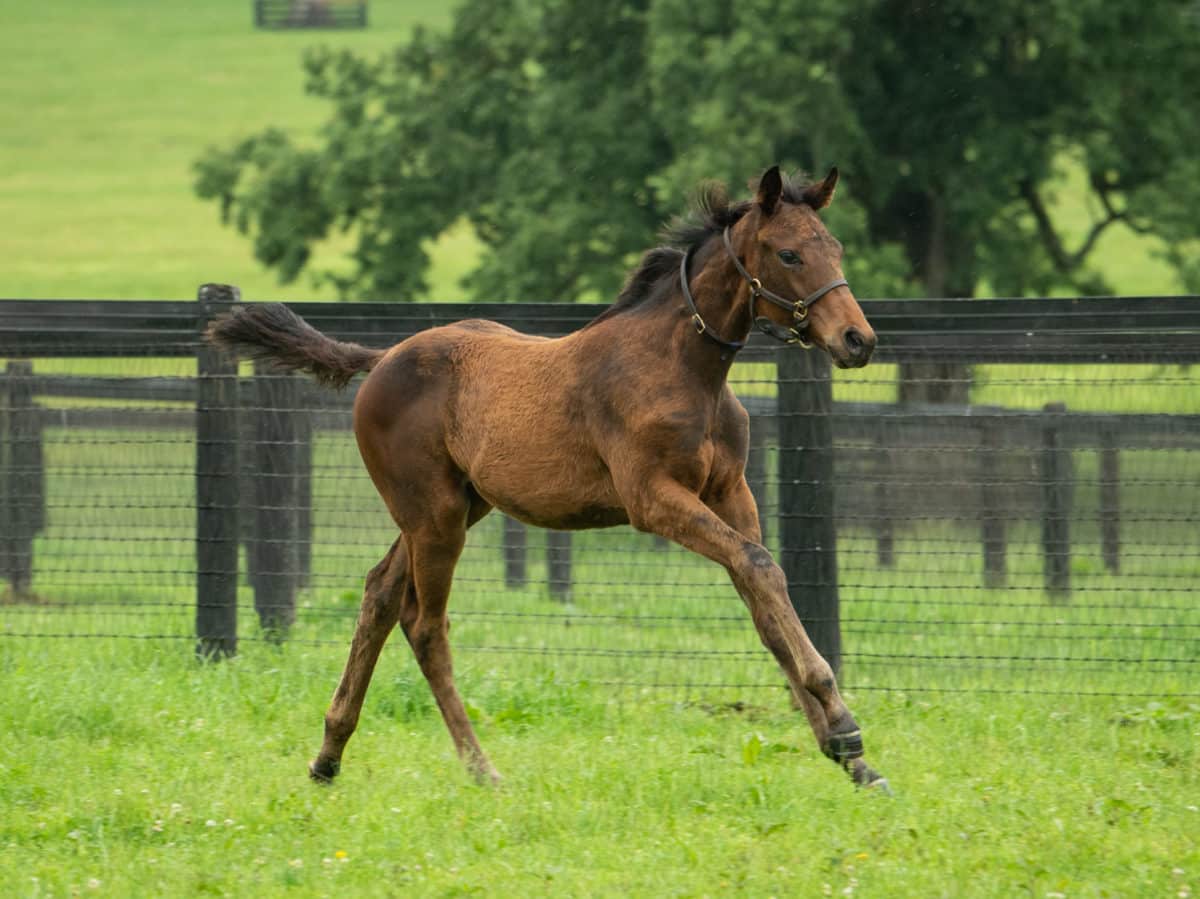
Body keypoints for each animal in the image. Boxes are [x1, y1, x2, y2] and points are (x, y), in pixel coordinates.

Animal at [206, 164, 888, 787]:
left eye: (836, 248)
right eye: (789, 253)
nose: (858, 340)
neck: (682, 369)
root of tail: (383, 359)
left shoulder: (730, 492)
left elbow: (763, 601)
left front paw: (850, 757)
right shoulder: (653, 499)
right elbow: (760, 567)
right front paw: (845, 727)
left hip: (453, 508)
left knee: (378, 594)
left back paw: (328, 756)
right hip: (435, 515)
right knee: (424, 624)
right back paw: (481, 769)